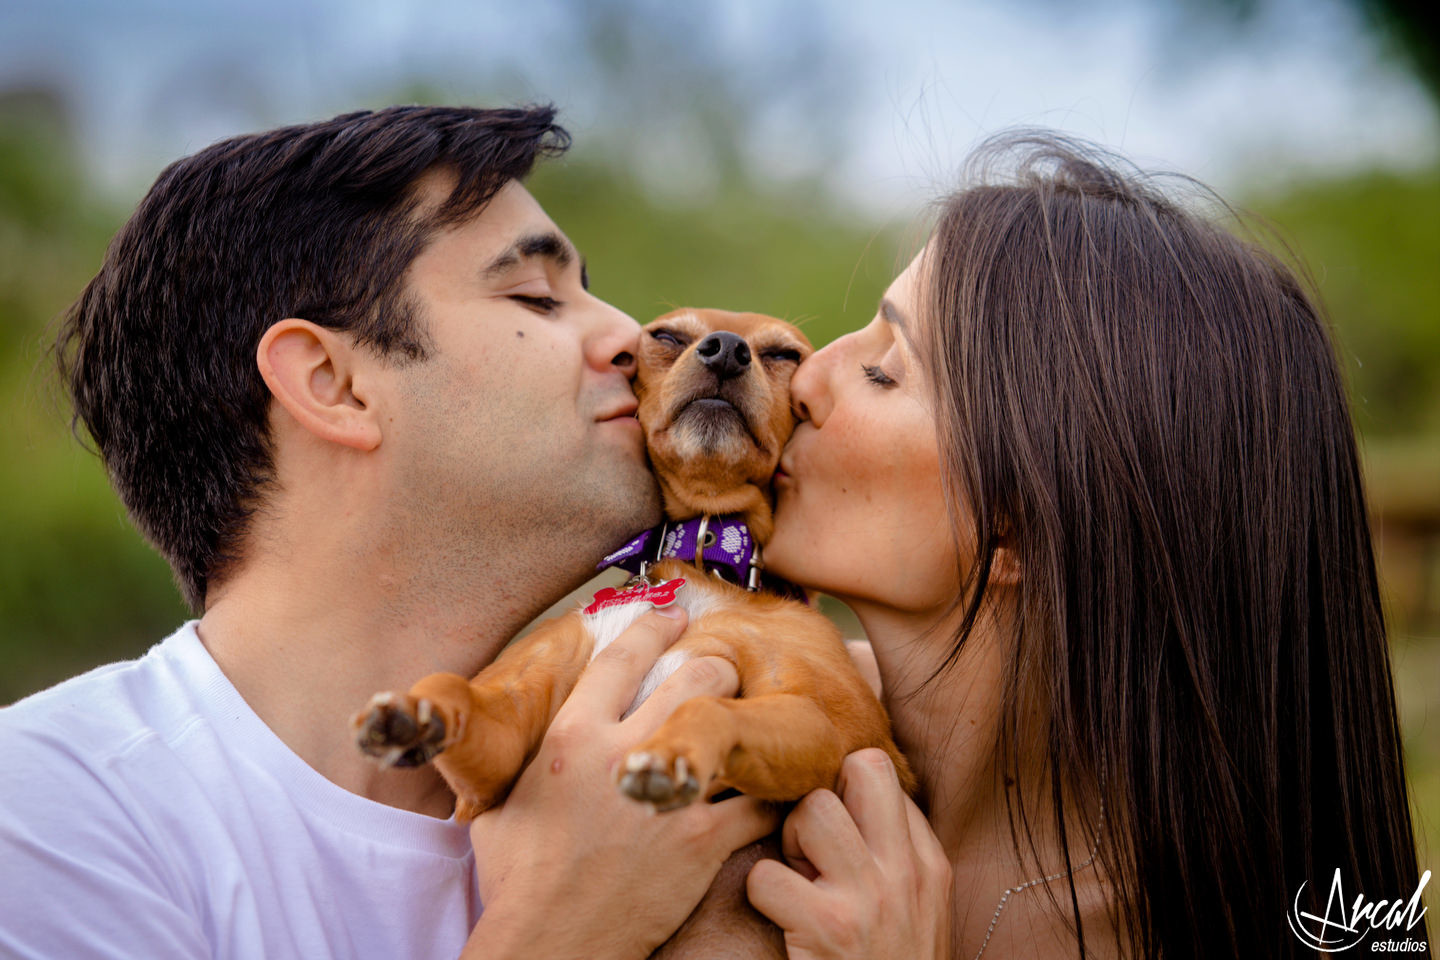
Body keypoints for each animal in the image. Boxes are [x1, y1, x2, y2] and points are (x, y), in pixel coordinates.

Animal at [351, 308, 910, 817]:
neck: (703, 558)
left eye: (784, 355)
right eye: (666, 336)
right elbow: (455, 690)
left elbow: (707, 705)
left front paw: (673, 754)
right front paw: (415, 710)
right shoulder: (500, 750)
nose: (727, 349)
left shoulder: (835, 727)